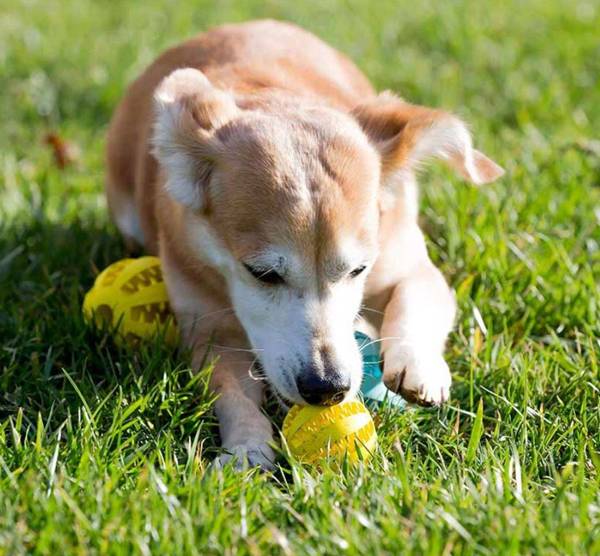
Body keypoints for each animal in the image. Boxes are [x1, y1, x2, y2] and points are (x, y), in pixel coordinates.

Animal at [105, 18, 504, 470]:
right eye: (262, 273)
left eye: (358, 269)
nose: (328, 387)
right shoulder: (209, 330)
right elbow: (230, 391)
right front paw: (246, 446)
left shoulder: (408, 264)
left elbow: (416, 297)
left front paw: (418, 365)